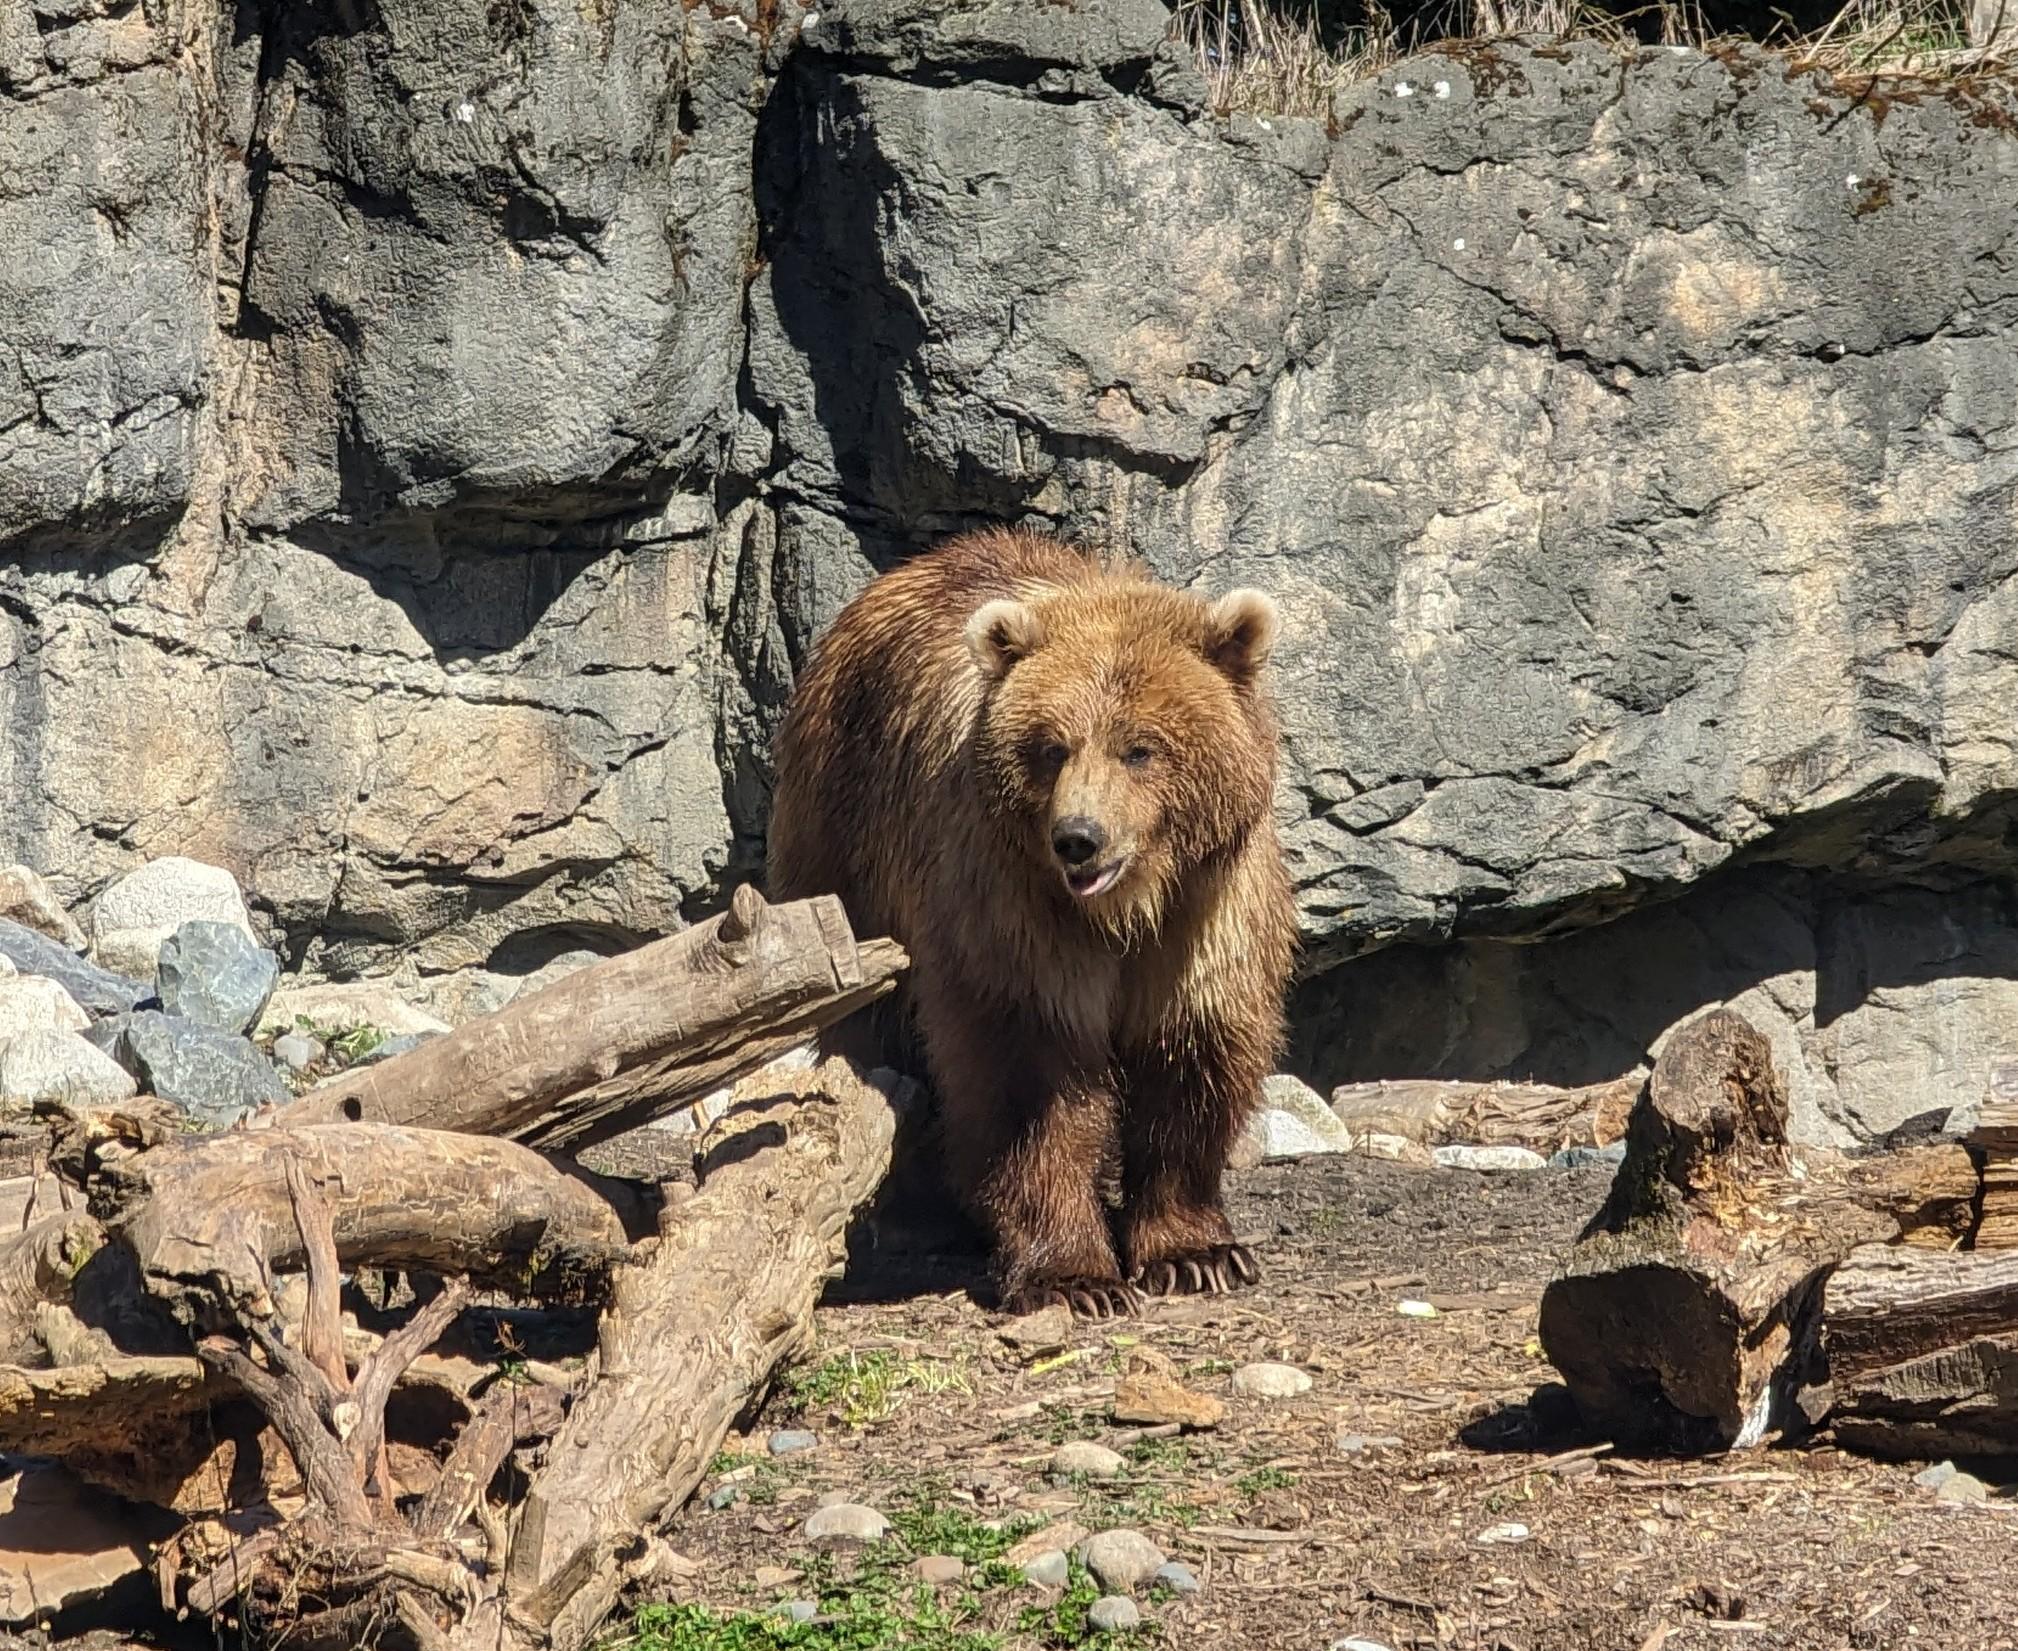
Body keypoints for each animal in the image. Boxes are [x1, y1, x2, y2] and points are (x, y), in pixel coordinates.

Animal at [762, 524, 1299, 1315]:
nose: (1078, 837)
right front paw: (1075, 1277)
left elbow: (1191, 1052)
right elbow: (1028, 1075)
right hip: (849, 840)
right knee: (877, 1030)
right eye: (1051, 747)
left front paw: (1196, 1253)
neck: (1126, 907)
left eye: (1140, 747)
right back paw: (921, 1208)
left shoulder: (1208, 909)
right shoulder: (1012, 904)